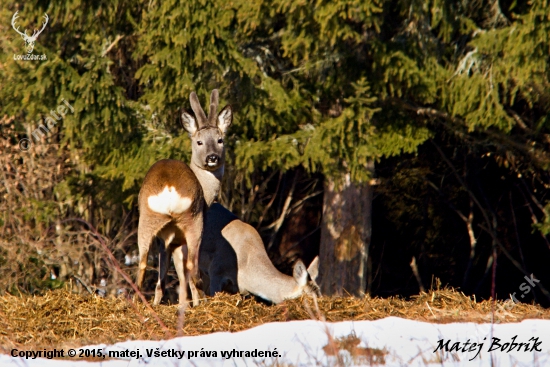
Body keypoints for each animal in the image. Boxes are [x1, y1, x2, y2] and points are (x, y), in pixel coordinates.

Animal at [139, 90, 234, 308]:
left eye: (220, 140)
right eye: (199, 142)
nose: (212, 157)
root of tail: (169, 188)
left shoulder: (167, 239)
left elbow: (163, 273)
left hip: (148, 218)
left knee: (142, 262)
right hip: (192, 220)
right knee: (192, 265)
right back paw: (201, 300)